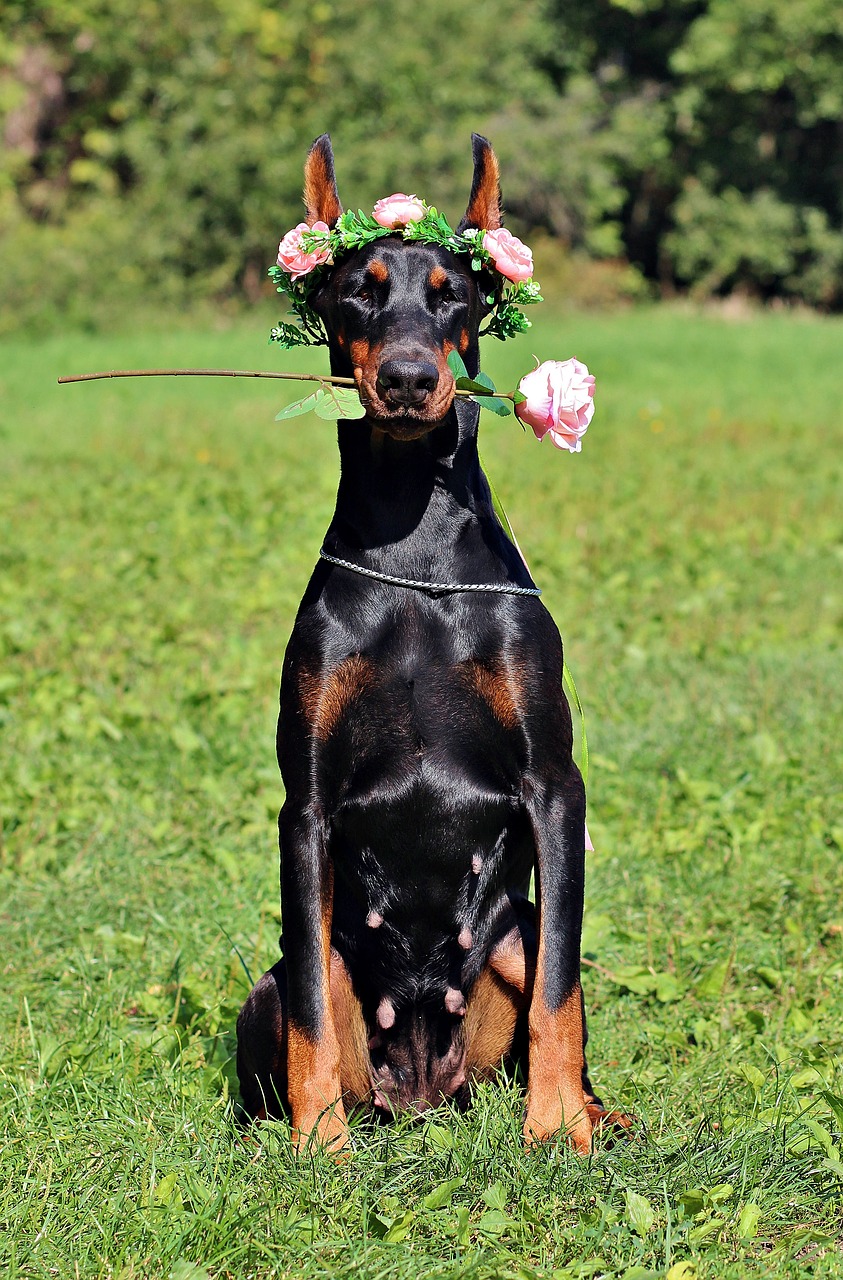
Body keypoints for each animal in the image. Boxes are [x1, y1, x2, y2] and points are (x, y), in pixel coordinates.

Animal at [235, 135, 619, 1157]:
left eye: (453, 293)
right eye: (357, 291)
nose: (408, 378)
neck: (416, 542)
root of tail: (419, 1091)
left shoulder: (553, 785)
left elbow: (561, 992)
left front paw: (555, 1131)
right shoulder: (305, 805)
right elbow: (311, 1009)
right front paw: (316, 1144)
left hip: (511, 935)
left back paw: (599, 1113)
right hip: (273, 981)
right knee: (296, 997)